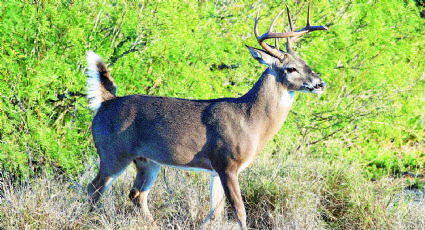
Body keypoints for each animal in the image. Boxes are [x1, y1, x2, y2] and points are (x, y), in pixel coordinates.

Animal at [85, 2, 328, 230]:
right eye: (290, 68)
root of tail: (106, 101)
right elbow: (239, 211)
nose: (320, 83)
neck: (250, 120)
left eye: (307, 64)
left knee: (136, 195)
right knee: (94, 188)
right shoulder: (227, 163)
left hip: (148, 160)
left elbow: (215, 212)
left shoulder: (215, 170)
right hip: (113, 152)